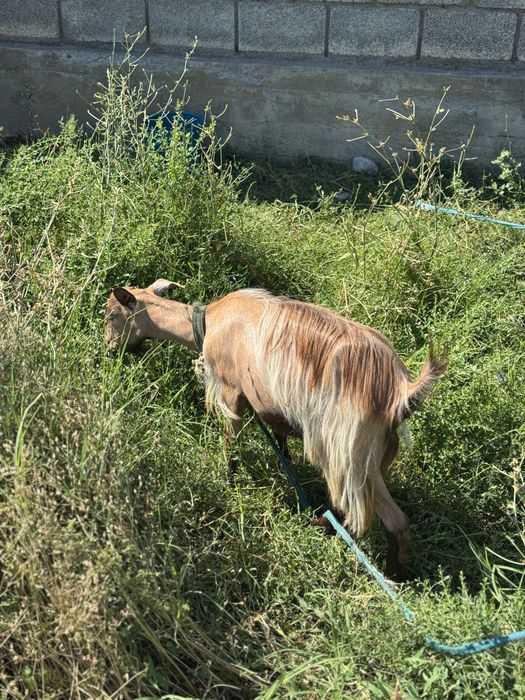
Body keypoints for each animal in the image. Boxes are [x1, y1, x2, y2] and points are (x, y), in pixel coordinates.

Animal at [105, 280, 446, 579]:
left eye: (111, 314)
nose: (109, 350)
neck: (209, 322)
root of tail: (399, 391)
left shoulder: (230, 390)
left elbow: (230, 442)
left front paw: (229, 483)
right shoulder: (270, 407)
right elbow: (281, 443)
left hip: (351, 453)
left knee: (384, 517)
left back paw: (381, 568)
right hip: (379, 452)